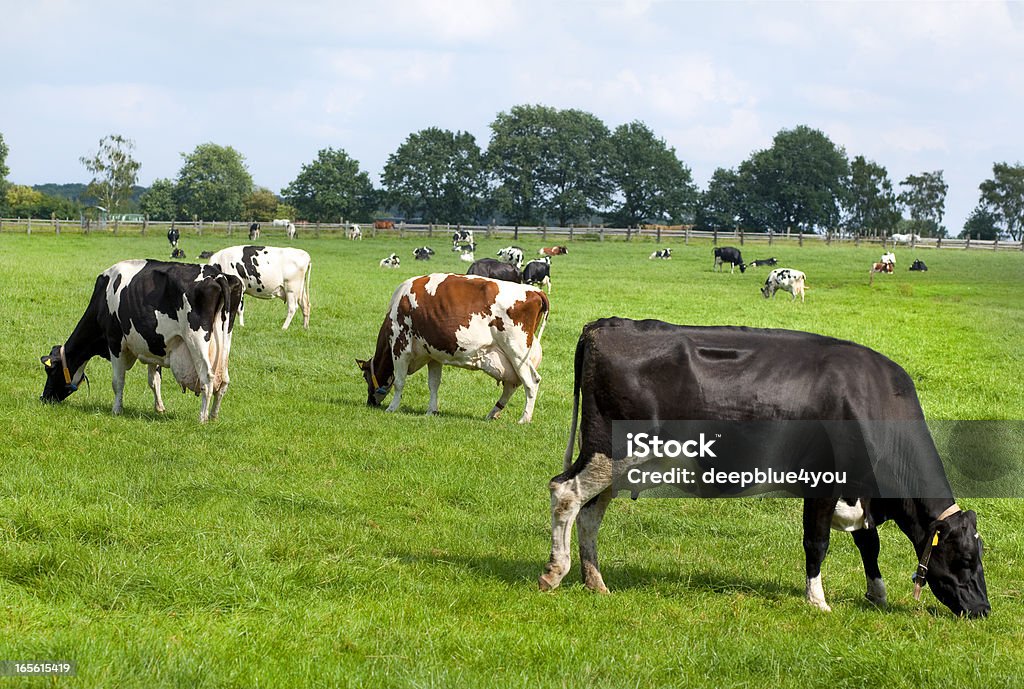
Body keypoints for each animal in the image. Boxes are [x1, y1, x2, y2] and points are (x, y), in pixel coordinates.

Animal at [39, 257, 243, 421]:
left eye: (51, 370)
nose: (44, 398)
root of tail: (218, 275)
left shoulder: (115, 342)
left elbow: (118, 381)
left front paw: (116, 410)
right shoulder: (153, 344)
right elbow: (154, 380)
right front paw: (159, 408)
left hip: (197, 339)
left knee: (207, 378)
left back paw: (202, 418)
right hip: (226, 339)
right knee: (223, 381)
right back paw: (214, 416)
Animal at [360, 272, 552, 421]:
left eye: (365, 376)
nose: (370, 402)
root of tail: (535, 291)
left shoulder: (400, 347)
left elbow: (399, 382)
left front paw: (392, 408)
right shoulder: (433, 354)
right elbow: (433, 384)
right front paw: (431, 410)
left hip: (516, 350)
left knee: (531, 381)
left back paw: (524, 419)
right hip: (509, 357)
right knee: (512, 384)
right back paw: (493, 413)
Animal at [544, 317, 991, 618]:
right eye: (966, 559)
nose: (984, 609)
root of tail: (604, 325)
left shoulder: (861, 491)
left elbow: (869, 543)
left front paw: (877, 594)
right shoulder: (822, 483)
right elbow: (817, 543)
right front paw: (818, 600)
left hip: (615, 465)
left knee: (590, 514)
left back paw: (595, 581)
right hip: (609, 451)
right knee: (565, 493)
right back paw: (554, 572)